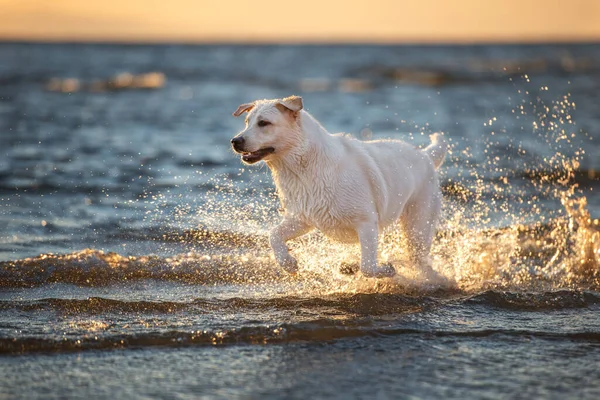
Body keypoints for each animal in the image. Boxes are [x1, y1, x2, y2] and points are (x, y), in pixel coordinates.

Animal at [232, 97, 448, 278]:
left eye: (264, 123)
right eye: (247, 122)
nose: (235, 141)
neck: (303, 169)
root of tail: (426, 155)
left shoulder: (367, 223)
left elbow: (368, 267)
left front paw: (386, 269)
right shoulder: (302, 218)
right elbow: (273, 234)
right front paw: (288, 263)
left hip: (418, 228)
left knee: (418, 259)